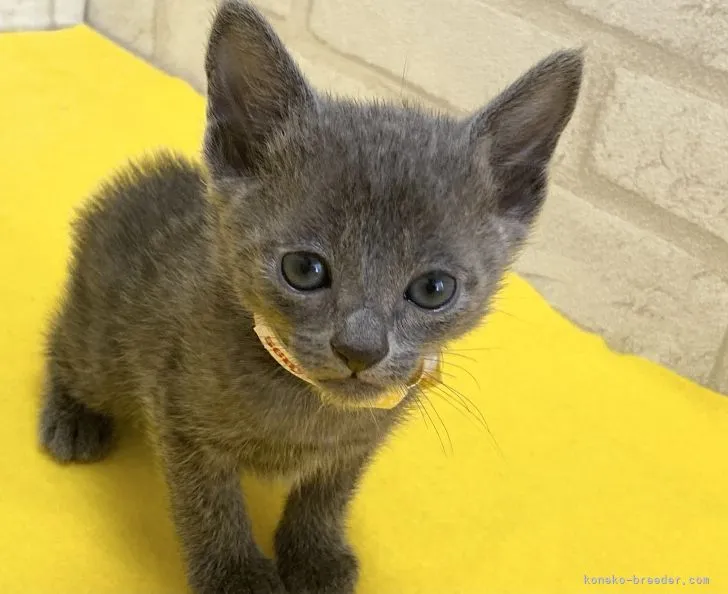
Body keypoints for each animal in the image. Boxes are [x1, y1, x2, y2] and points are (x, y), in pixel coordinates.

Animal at [38, 1, 583, 593]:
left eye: (433, 289)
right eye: (303, 269)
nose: (360, 349)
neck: (305, 402)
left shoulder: (358, 444)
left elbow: (327, 495)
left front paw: (313, 554)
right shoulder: (178, 414)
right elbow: (209, 504)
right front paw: (236, 574)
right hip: (103, 351)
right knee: (67, 347)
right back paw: (72, 417)